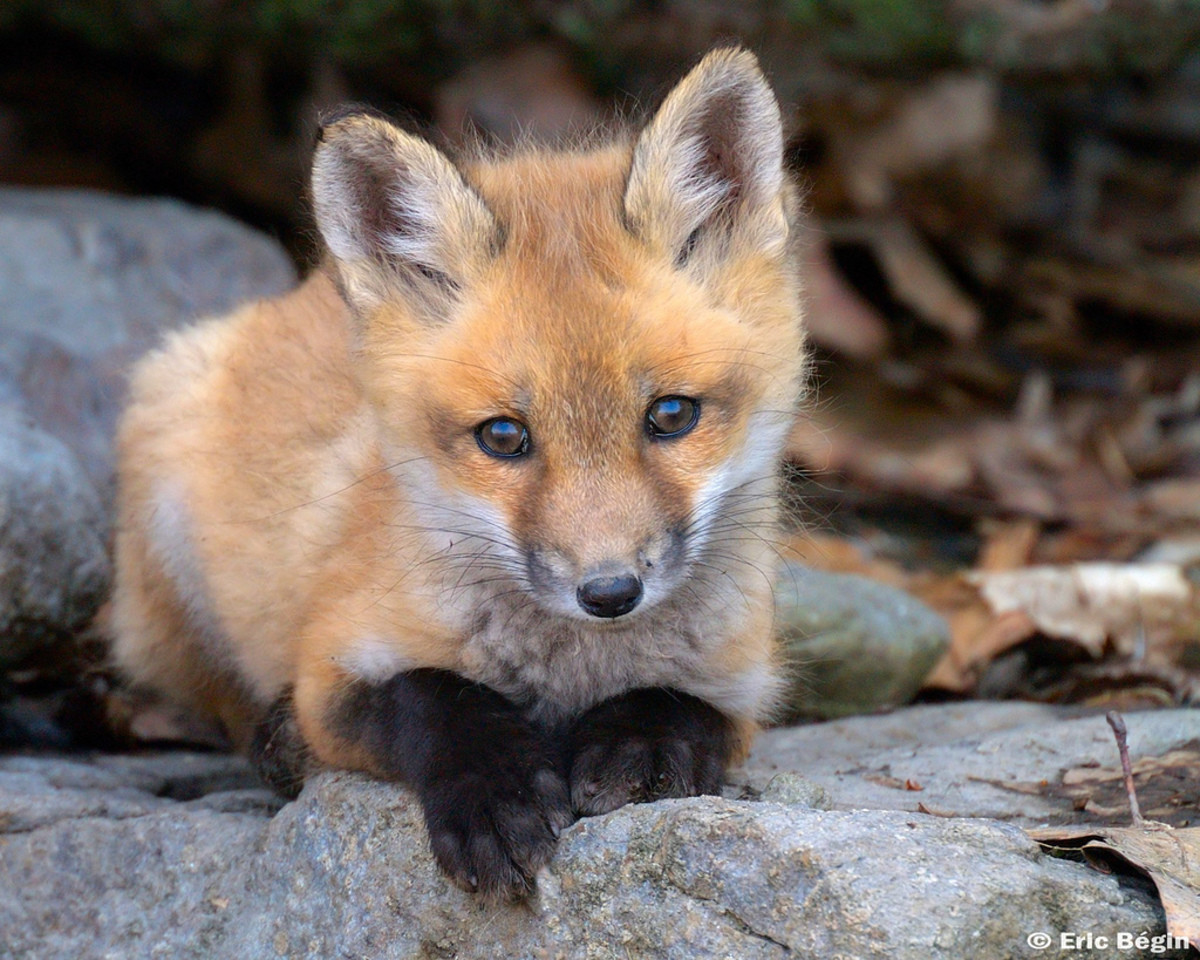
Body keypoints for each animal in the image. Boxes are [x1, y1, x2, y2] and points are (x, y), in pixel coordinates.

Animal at [110, 45, 806, 902]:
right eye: (504, 436)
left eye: (672, 415)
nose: (609, 592)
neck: (570, 673)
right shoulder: (332, 664)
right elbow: (431, 696)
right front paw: (494, 795)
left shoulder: (741, 687)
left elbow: (680, 704)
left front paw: (641, 746)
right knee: (212, 697)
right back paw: (276, 744)